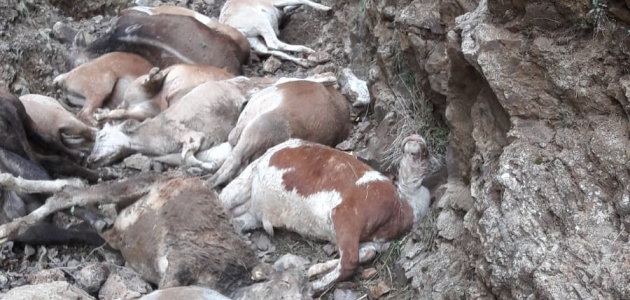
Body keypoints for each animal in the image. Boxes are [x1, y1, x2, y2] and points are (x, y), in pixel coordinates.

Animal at [0, 173, 260, 292]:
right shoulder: (181, 263)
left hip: (122, 213)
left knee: (72, 187)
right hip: (136, 185)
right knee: (70, 193)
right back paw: (7, 220)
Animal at [218, 135, 434, 292]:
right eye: (421, 153)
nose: (417, 141)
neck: (404, 206)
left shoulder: (357, 222)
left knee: (350, 261)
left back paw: (313, 283)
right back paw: (313, 276)